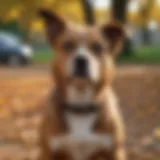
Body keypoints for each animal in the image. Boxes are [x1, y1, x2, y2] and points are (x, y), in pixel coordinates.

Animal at [38, 9, 126, 160]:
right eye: (67, 45)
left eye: (97, 47)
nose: (81, 60)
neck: (81, 105)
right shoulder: (47, 152)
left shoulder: (115, 151)